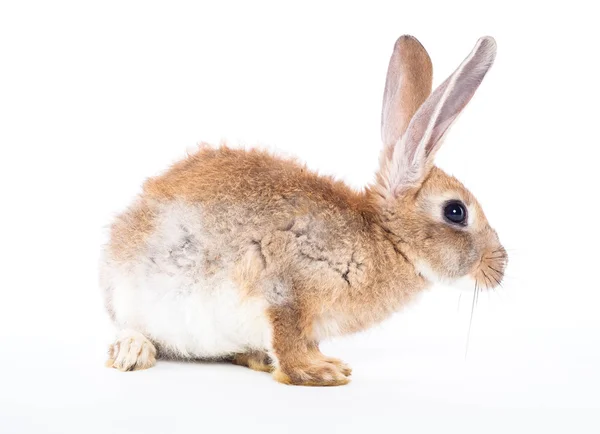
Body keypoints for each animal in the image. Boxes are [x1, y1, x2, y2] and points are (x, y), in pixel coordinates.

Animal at [102, 34, 506, 386]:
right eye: (456, 212)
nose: (499, 267)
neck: (386, 240)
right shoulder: (288, 287)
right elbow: (288, 337)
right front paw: (322, 372)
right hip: (133, 291)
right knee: (132, 326)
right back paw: (132, 351)